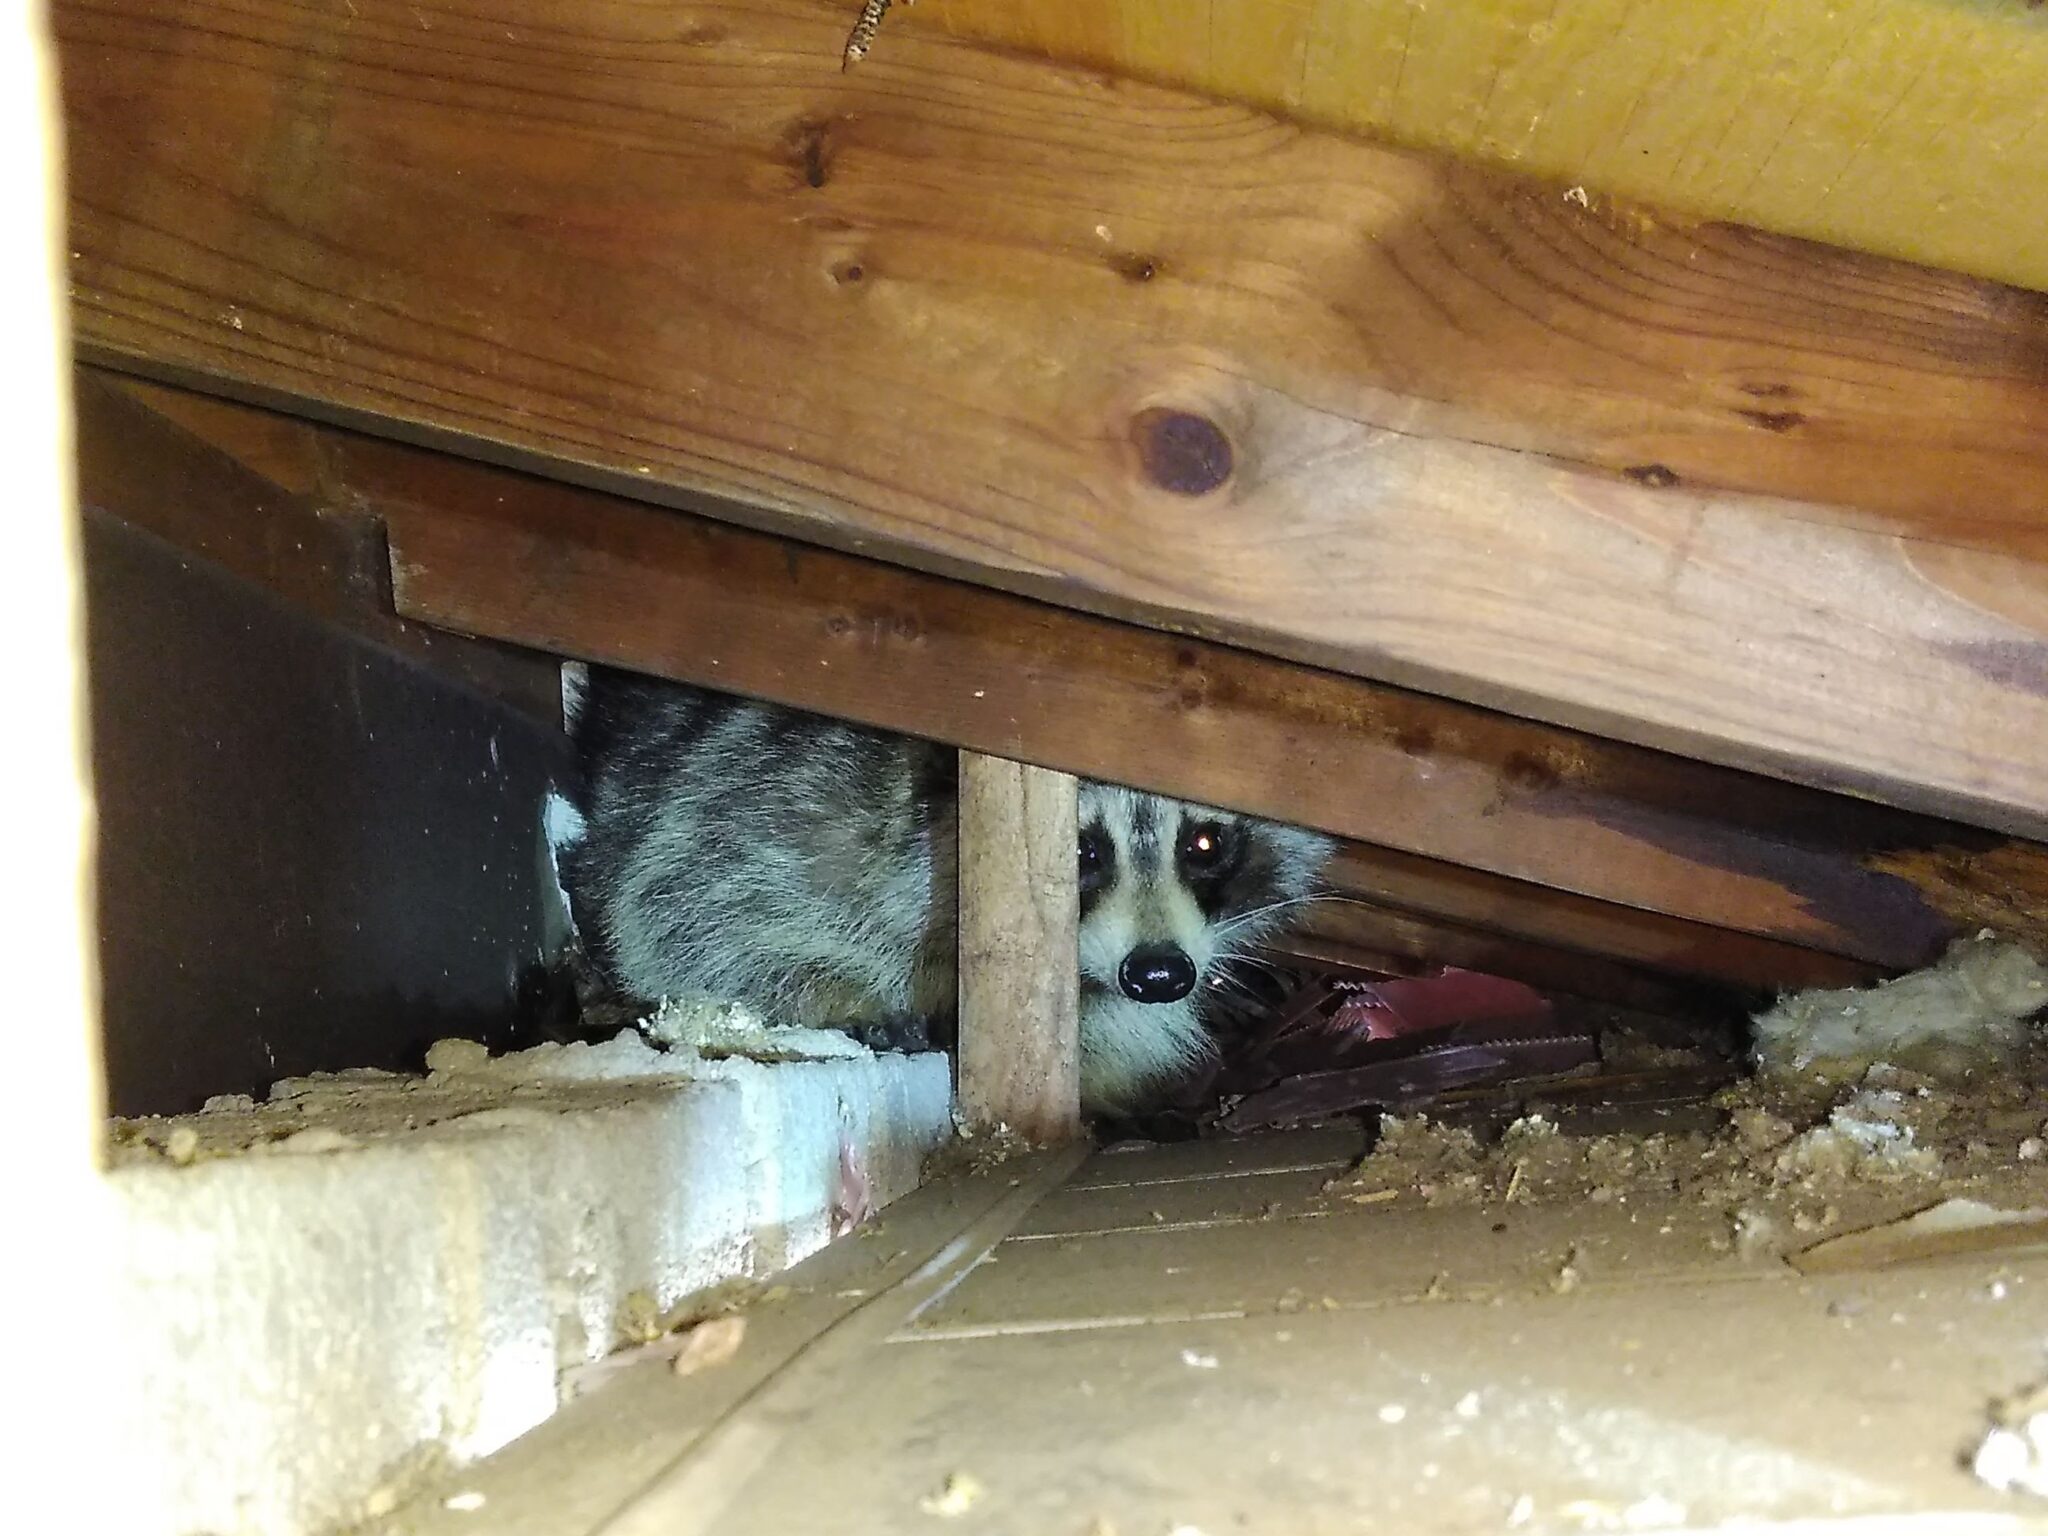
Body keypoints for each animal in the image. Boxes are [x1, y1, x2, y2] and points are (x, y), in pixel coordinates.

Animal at [555, 666, 1334, 1116]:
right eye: (1080, 850)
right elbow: (690, 922)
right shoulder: (765, 807)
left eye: (1204, 844)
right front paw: (847, 997)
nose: (1159, 974)